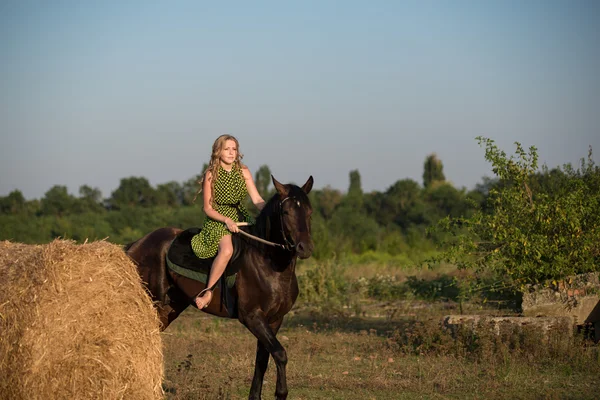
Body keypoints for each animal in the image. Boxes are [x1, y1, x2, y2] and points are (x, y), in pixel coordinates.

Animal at [125, 177, 314, 400]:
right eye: (286, 212)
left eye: (309, 211)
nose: (305, 248)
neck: (269, 264)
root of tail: (137, 244)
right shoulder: (252, 317)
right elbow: (280, 354)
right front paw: (281, 392)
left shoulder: (275, 319)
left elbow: (263, 359)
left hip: (169, 308)